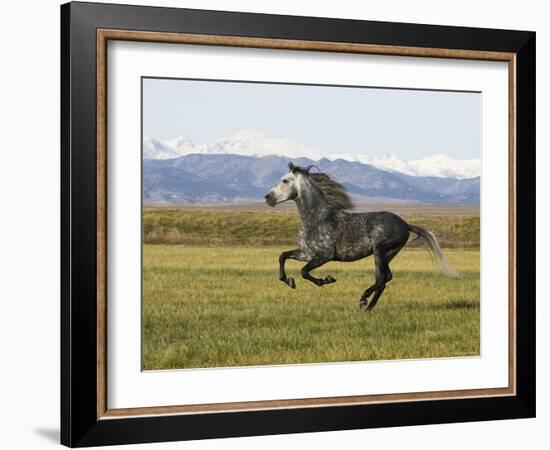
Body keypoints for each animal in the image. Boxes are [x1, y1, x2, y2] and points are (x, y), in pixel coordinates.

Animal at [266, 163, 460, 312]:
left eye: (285, 180)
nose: (267, 198)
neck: (318, 218)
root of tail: (405, 225)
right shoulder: (307, 253)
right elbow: (283, 256)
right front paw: (289, 281)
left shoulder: (324, 255)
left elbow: (304, 271)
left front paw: (327, 280)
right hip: (384, 255)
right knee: (383, 279)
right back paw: (367, 307)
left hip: (381, 251)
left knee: (384, 278)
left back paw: (363, 300)